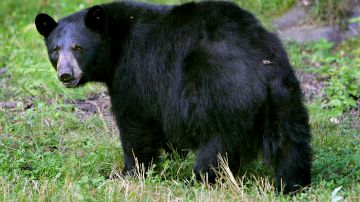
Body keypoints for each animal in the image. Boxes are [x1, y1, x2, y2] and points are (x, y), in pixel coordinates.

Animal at [35, 1, 312, 194]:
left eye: (78, 48)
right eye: (55, 50)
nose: (66, 74)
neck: (115, 44)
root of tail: (262, 66)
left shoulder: (135, 72)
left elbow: (135, 124)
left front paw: (129, 173)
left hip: (223, 97)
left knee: (218, 148)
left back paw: (200, 179)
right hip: (285, 98)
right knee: (290, 143)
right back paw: (293, 184)